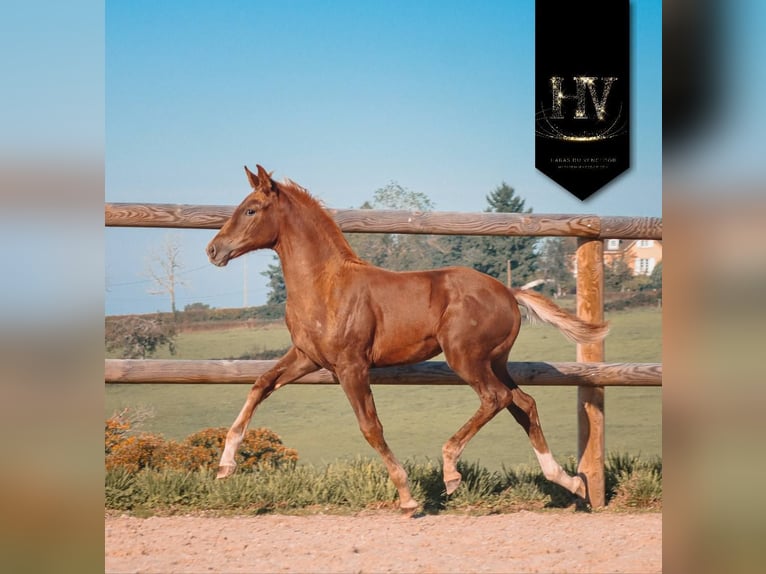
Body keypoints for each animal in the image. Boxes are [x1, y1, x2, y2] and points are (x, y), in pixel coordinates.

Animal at [206, 165, 609, 510]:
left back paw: (451, 470)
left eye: (251, 210)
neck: (325, 286)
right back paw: (570, 482)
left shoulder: (351, 366)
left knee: (496, 398)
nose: (213, 250)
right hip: (495, 361)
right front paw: (225, 465)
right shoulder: (307, 357)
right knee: (523, 403)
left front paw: (406, 496)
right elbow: (260, 384)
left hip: (465, 357)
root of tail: (509, 293)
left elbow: (371, 427)